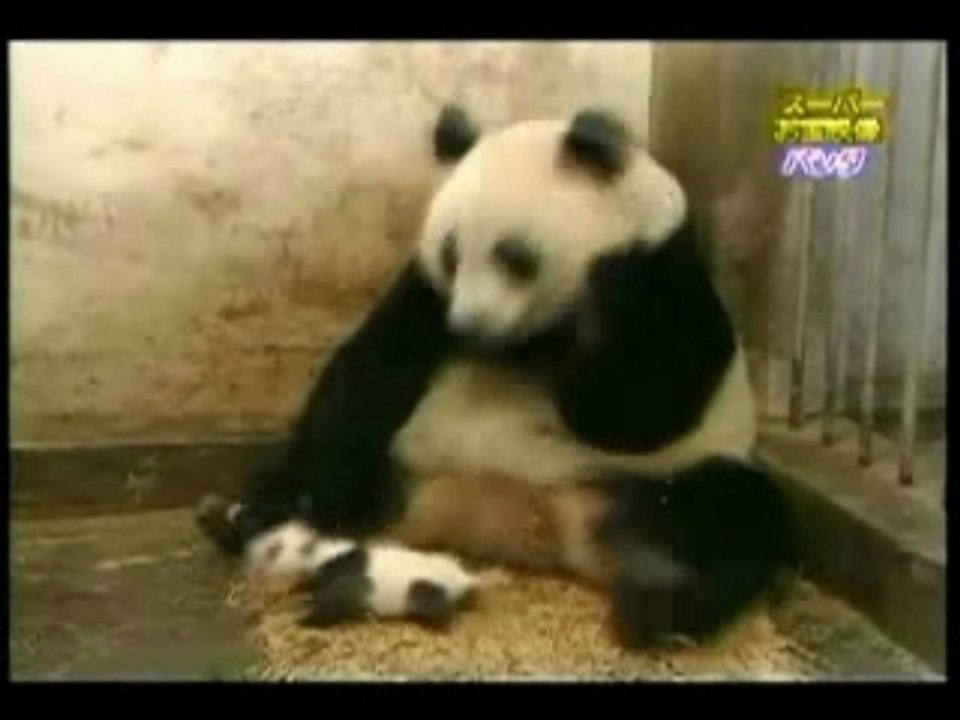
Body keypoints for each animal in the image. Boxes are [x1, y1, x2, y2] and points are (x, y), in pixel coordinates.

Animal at [197, 103, 797, 649]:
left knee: (736, 512)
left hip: (647, 483)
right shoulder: (426, 292)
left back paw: (660, 609)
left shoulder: (669, 275)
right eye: (451, 252)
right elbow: (372, 370)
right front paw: (307, 503)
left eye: (515, 256)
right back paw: (244, 515)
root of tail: (521, 527)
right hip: (407, 466)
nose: (468, 324)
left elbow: (637, 410)